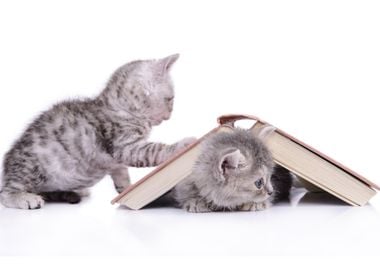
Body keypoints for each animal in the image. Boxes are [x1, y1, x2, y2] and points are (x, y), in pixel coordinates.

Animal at [0, 53, 196, 210]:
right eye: (171, 99)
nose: (169, 116)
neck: (121, 108)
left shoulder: (116, 160)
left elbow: (121, 171)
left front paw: (125, 188)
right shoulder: (125, 146)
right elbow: (155, 150)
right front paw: (182, 145)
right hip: (32, 166)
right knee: (6, 192)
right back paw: (24, 198)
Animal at [162, 127, 292, 212]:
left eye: (271, 176)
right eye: (259, 183)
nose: (271, 192)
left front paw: (256, 203)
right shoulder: (184, 184)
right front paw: (196, 201)